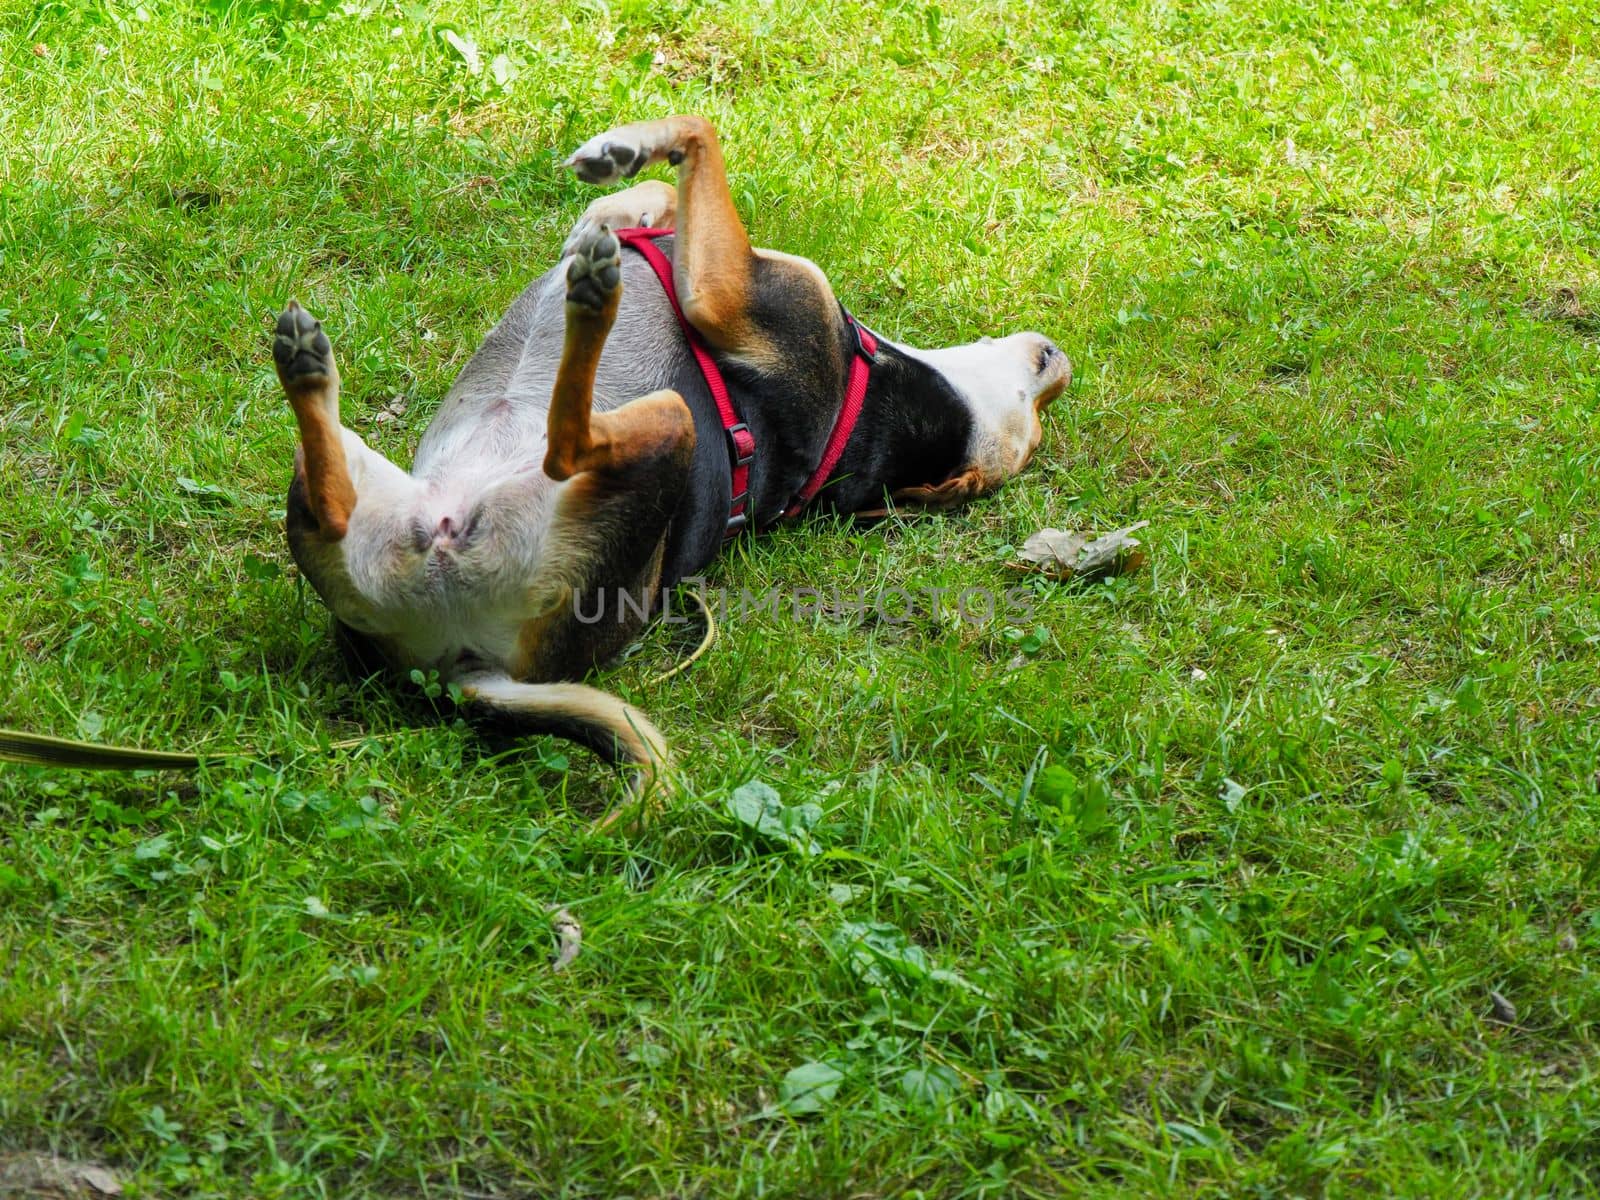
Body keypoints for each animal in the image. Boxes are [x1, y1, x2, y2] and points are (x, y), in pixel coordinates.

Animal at [273, 115, 1068, 809]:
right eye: (1039, 419)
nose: (1060, 363)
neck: (870, 406)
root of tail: (464, 668)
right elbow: (649, 191)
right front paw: (619, 186)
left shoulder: (724, 290)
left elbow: (699, 131)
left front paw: (622, 154)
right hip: (358, 492)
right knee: (331, 496)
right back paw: (311, 369)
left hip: (665, 424)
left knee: (568, 440)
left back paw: (587, 304)